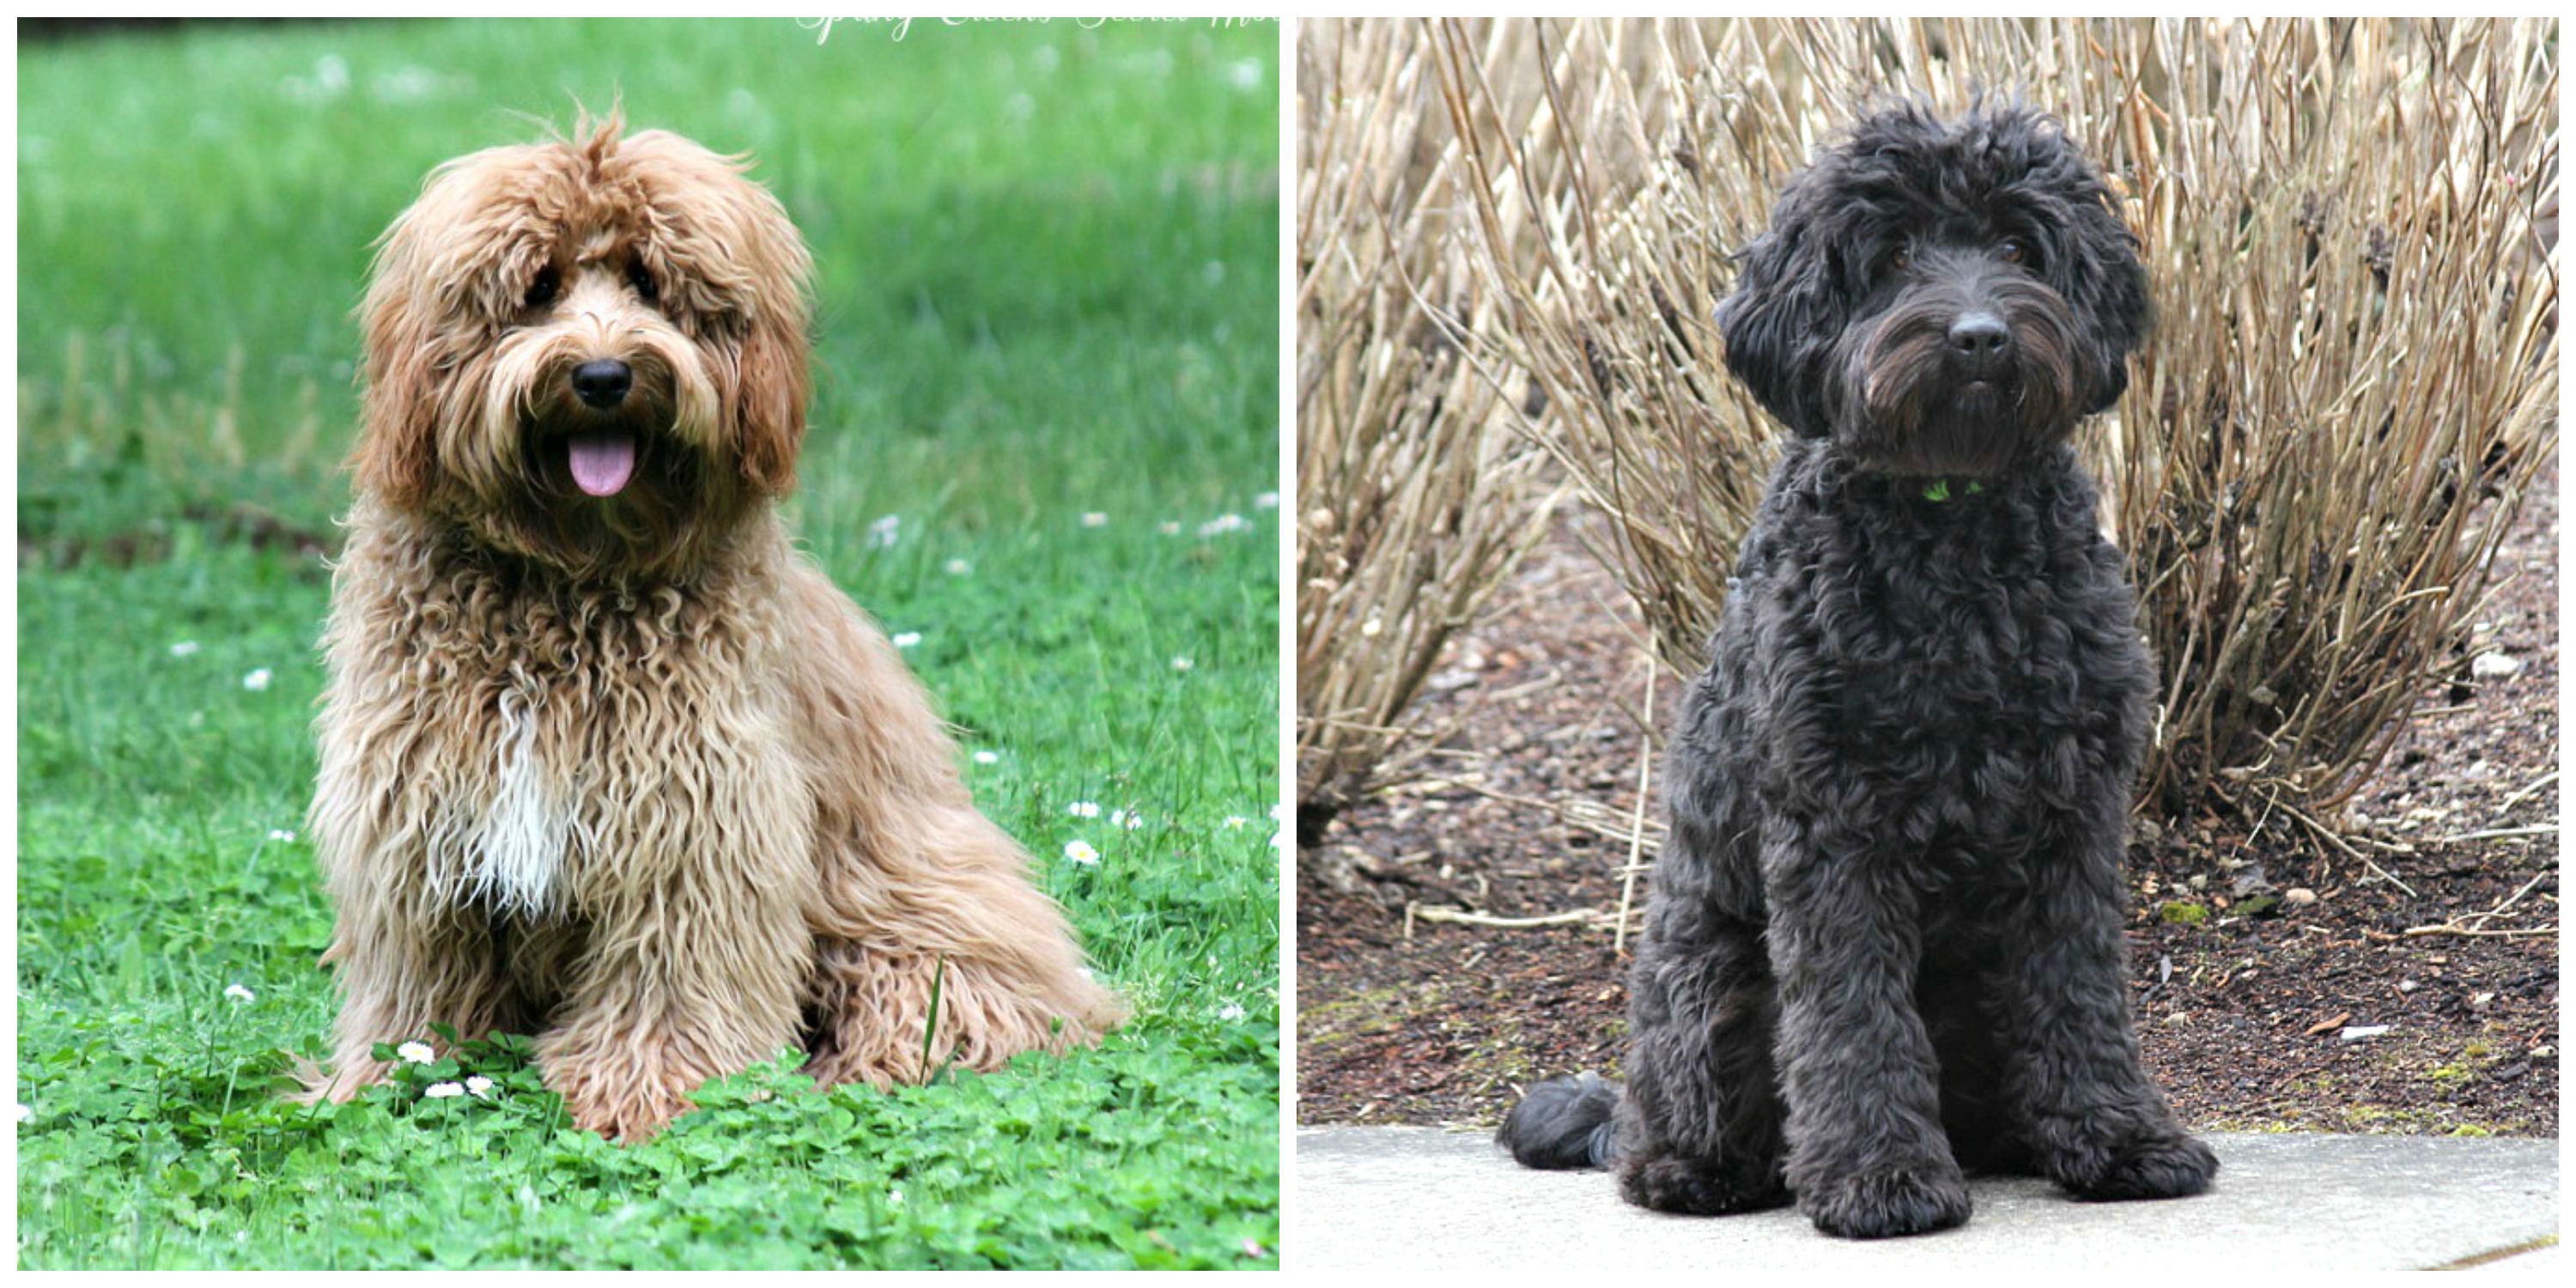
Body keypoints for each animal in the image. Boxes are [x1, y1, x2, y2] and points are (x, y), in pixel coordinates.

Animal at [1504, 108, 2226, 1236]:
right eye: (1889, 259)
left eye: (2018, 246)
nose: (1979, 335)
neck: (1954, 542)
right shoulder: (1834, 829)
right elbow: (1852, 1015)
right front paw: (1879, 1178)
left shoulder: (2071, 823)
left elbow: (2081, 991)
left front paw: (2120, 1140)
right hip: (1711, 980)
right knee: (1687, 1118)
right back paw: (1698, 1171)